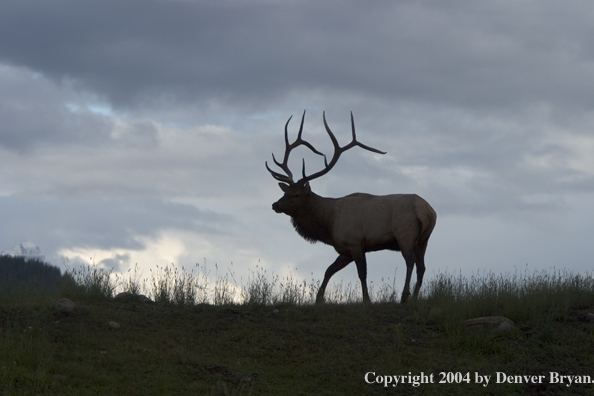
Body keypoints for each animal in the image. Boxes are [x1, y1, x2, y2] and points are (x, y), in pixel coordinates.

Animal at [264, 111, 434, 304]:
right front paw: (318, 299)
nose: (275, 205)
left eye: (297, 195)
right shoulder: (344, 250)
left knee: (410, 262)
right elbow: (329, 270)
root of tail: (428, 211)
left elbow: (362, 273)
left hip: (405, 235)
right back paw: (414, 297)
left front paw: (366, 300)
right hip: (423, 240)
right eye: (286, 192)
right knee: (422, 267)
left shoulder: (355, 242)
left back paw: (404, 296)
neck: (329, 224)